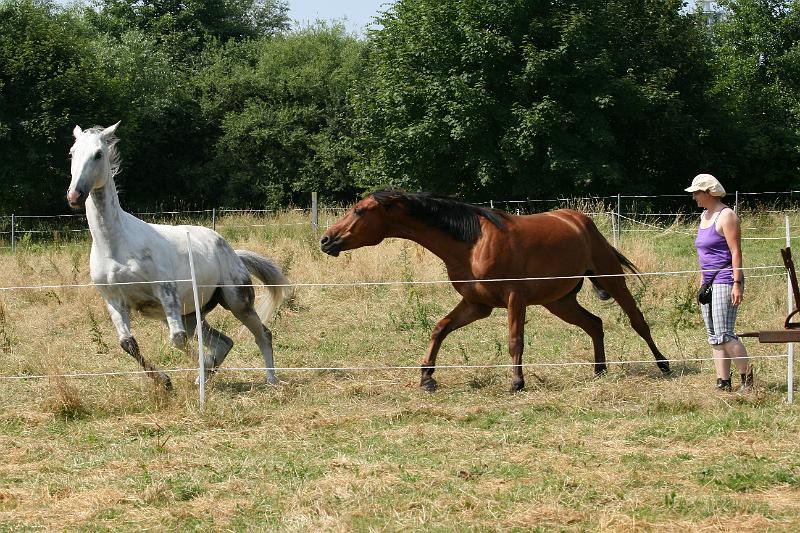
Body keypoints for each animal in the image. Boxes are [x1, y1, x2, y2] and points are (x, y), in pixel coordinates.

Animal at [67, 122, 290, 388]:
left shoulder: (166, 293)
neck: (115, 247)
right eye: (72, 153)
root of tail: (233, 253)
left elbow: (178, 340)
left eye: (98, 154)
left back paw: (271, 380)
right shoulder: (114, 301)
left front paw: (185, 373)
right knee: (223, 342)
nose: (75, 196)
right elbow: (128, 344)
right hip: (193, 314)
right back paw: (204, 377)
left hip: (237, 302)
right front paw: (166, 382)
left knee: (262, 334)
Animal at [318, 189, 668, 388]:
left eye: (360, 211)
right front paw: (427, 378)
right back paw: (599, 370)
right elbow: (440, 329)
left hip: (612, 280)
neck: (471, 242)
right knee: (595, 324)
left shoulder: (515, 298)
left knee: (638, 322)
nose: (326, 240)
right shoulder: (477, 304)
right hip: (559, 301)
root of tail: (581, 221)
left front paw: (517, 381)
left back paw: (663, 364)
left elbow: (515, 341)